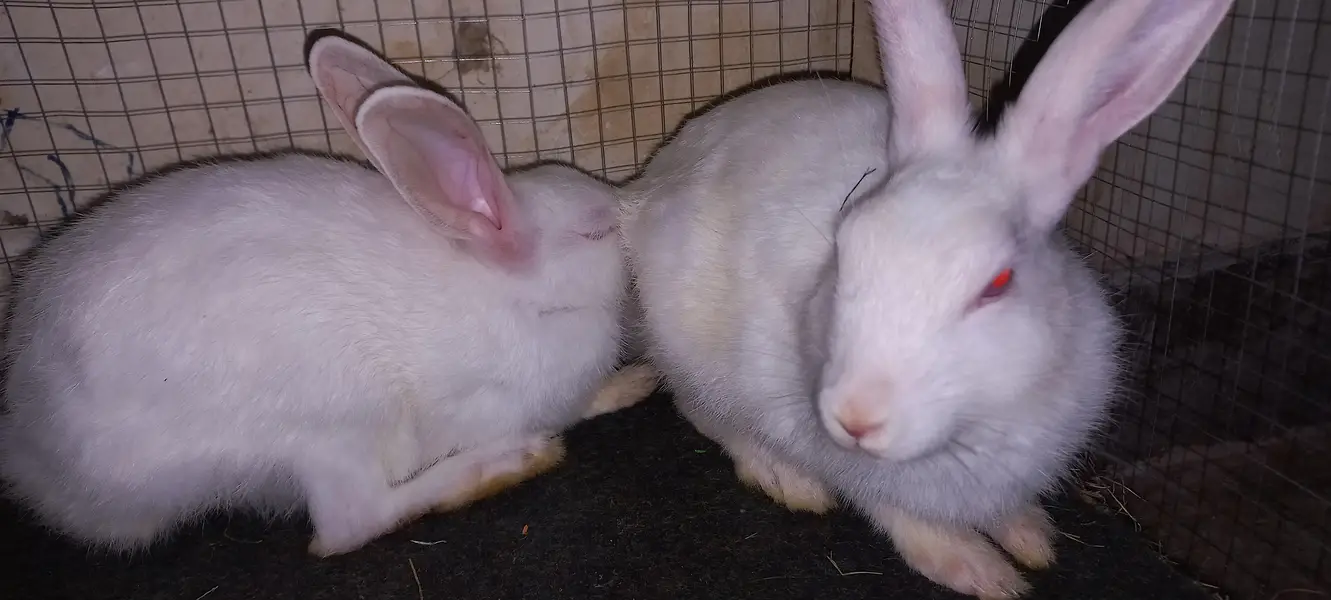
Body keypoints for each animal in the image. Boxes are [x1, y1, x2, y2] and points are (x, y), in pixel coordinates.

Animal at [0, 33, 658, 558]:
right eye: (596, 230)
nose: (631, 212)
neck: (515, 295)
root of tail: (38, 460)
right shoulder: (485, 399)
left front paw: (631, 383)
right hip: (325, 432)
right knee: (346, 527)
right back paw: (507, 463)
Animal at [619, 0, 1234, 597]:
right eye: (845, 251)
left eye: (998, 283)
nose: (857, 417)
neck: (966, 429)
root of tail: (645, 189)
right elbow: (902, 514)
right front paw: (980, 572)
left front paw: (1032, 537)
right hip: (690, 349)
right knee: (700, 412)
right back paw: (786, 478)